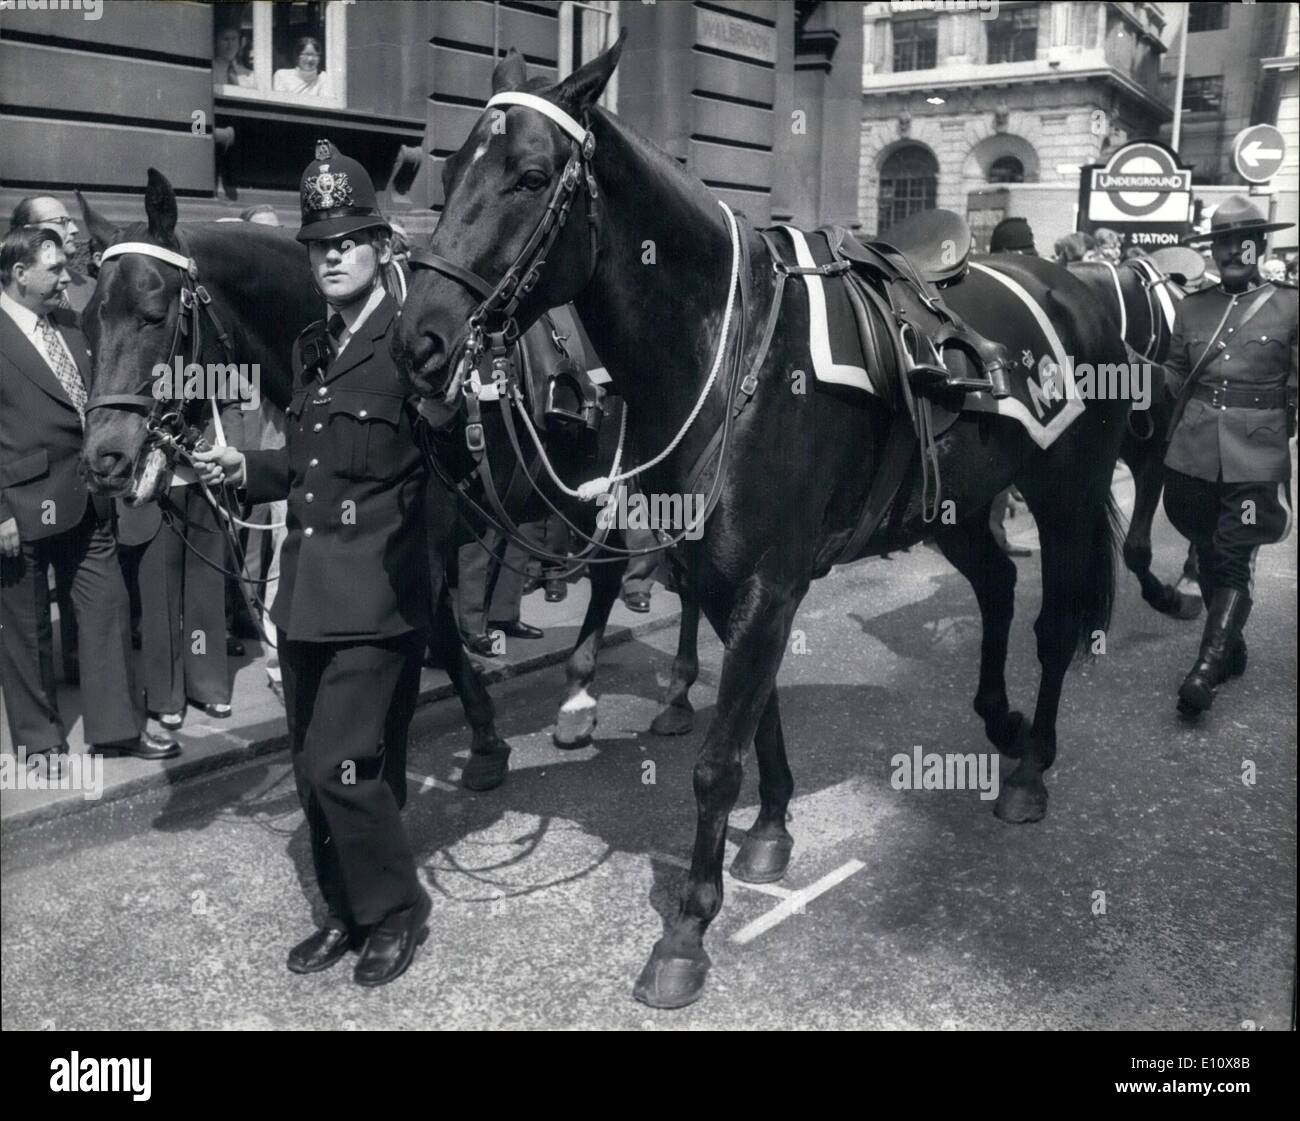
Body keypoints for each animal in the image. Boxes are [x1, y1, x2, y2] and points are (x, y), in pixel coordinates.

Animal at [73, 175, 512, 790]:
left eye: (154, 315)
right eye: (88, 320)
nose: (104, 458)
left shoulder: (420, 543)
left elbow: (426, 633)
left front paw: (481, 739)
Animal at [392, 41, 1128, 1009]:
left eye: (530, 175)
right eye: (448, 173)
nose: (421, 341)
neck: (730, 347)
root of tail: (1078, 287)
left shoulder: (768, 581)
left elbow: (716, 758)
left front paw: (686, 929)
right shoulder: (725, 577)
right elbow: (757, 713)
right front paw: (772, 828)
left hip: (1067, 489)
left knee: (1055, 618)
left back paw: (1032, 762)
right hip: (959, 505)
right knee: (1001, 585)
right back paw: (1000, 724)